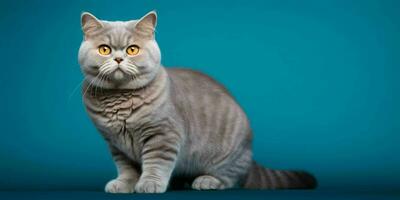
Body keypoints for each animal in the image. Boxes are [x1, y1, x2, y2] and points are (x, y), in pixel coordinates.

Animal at [77, 10, 316, 193]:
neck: (120, 101)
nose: (118, 59)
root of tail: (250, 156)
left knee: (231, 179)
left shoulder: (163, 136)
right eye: (104, 49)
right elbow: (126, 168)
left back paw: (205, 181)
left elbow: (156, 163)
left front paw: (149, 184)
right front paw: (124, 184)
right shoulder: (116, 144)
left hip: (226, 155)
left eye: (132, 49)